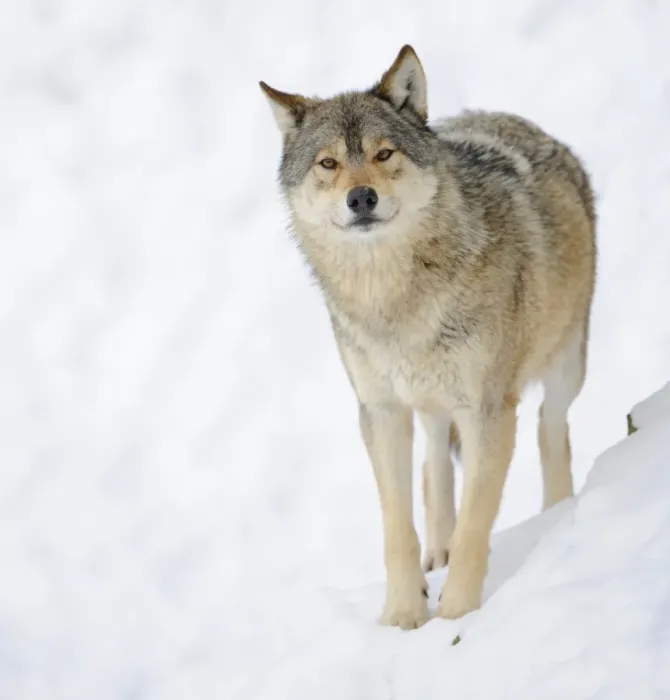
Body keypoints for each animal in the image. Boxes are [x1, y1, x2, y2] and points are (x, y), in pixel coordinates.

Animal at [260, 45, 596, 629]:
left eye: (384, 153)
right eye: (328, 164)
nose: (362, 198)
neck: (396, 301)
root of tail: (512, 118)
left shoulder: (488, 410)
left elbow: (477, 525)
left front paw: (458, 616)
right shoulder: (381, 412)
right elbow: (397, 527)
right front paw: (402, 615)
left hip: (564, 369)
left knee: (551, 431)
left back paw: (556, 513)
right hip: (432, 400)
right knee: (434, 461)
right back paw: (436, 548)